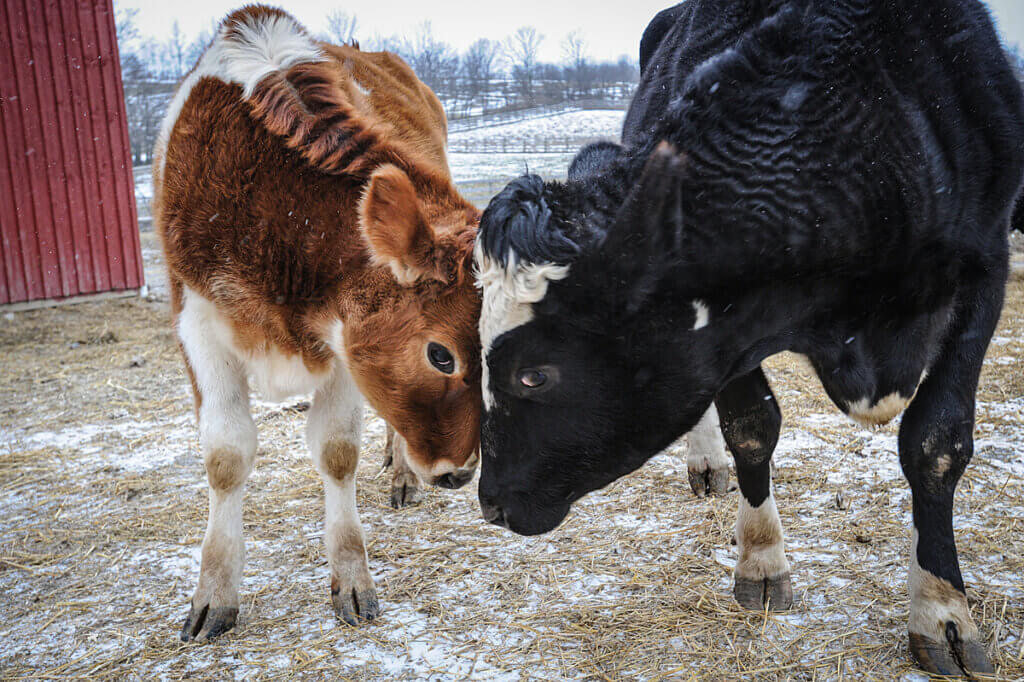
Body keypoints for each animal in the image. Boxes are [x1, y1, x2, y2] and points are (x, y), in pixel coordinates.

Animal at [153, 7, 481, 638]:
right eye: (441, 355)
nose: (460, 472)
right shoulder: (196, 322)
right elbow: (226, 456)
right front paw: (214, 592)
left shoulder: (346, 343)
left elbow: (336, 451)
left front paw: (351, 577)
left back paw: (402, 472)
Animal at [475, 0, 1024, 675]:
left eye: (535, 374)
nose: (491, 503)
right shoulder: (732, 333)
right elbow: (753, 427)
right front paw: (761, 563)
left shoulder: (987, 259)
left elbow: (937, 440)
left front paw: (944, 612)